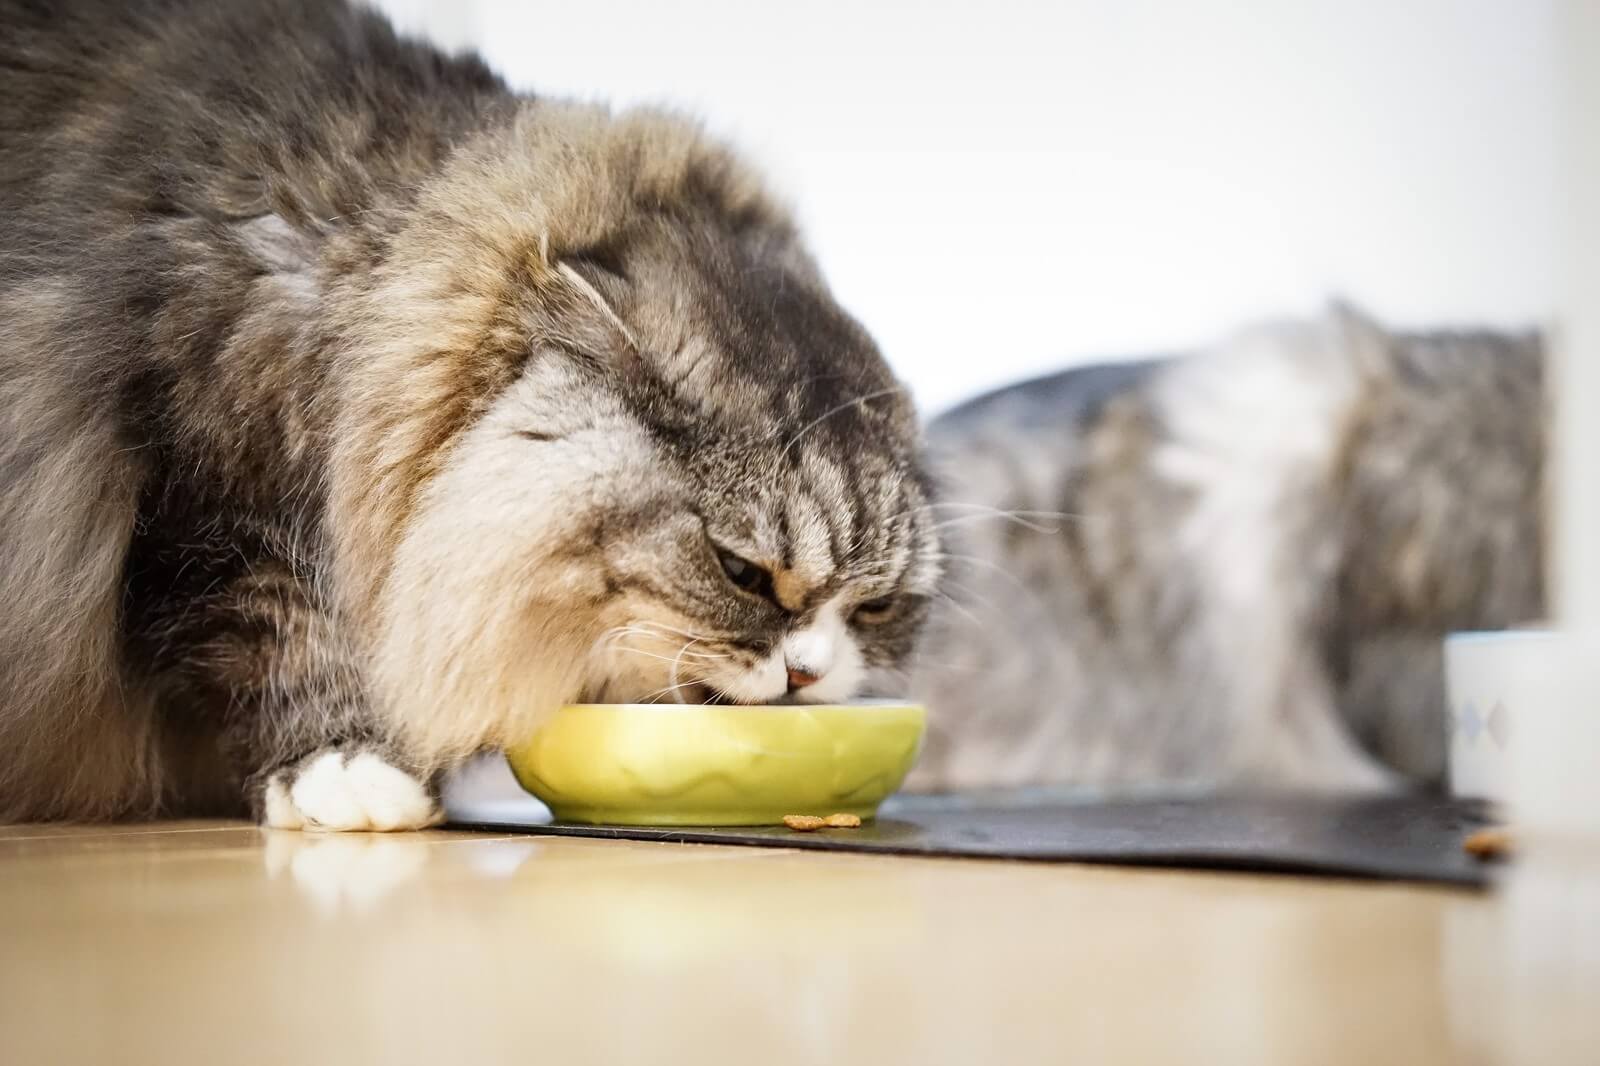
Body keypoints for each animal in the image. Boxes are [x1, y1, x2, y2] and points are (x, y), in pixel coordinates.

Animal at [0, 0, 934, 825]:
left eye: (876, 609)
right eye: (740, 571)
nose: (810, 676)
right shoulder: (192, 498)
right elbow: (283, 626)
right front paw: (349, 772)